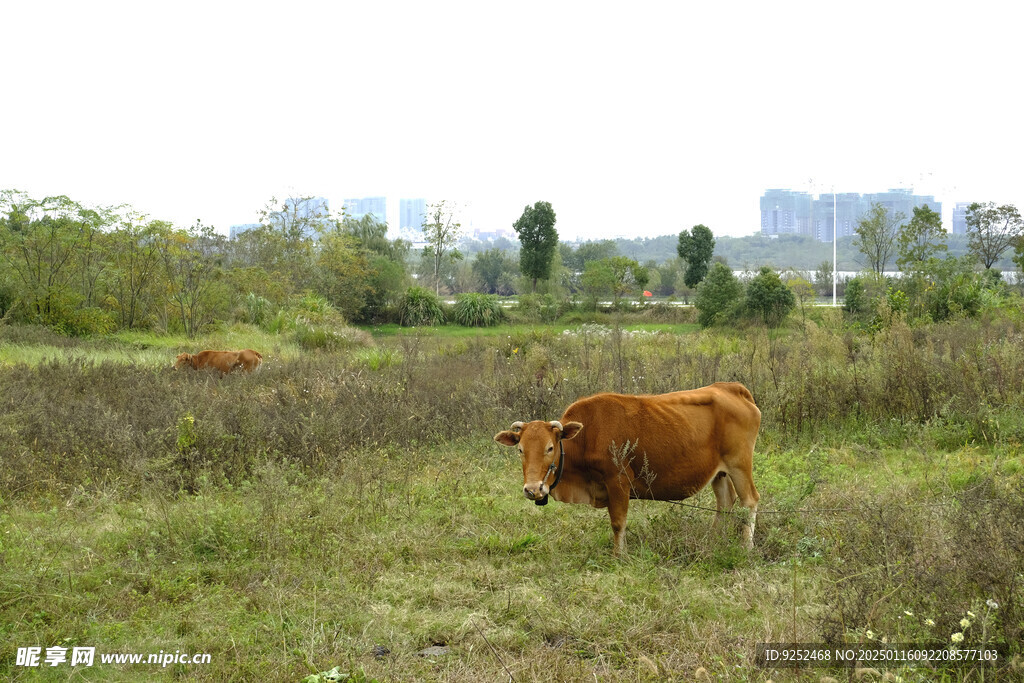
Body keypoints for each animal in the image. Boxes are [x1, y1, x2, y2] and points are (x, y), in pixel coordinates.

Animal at [495, 382, 761, 557]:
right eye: (521, 450)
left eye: (550, 448)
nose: (533, 489)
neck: (587, 436)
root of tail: (731, 388)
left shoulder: (618, 482)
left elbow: (618, 522)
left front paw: (618, 555)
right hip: (720, 472)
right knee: (725, 503)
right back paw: (713, 539)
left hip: (739, 464)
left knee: (750, 501)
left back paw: (745, 547)